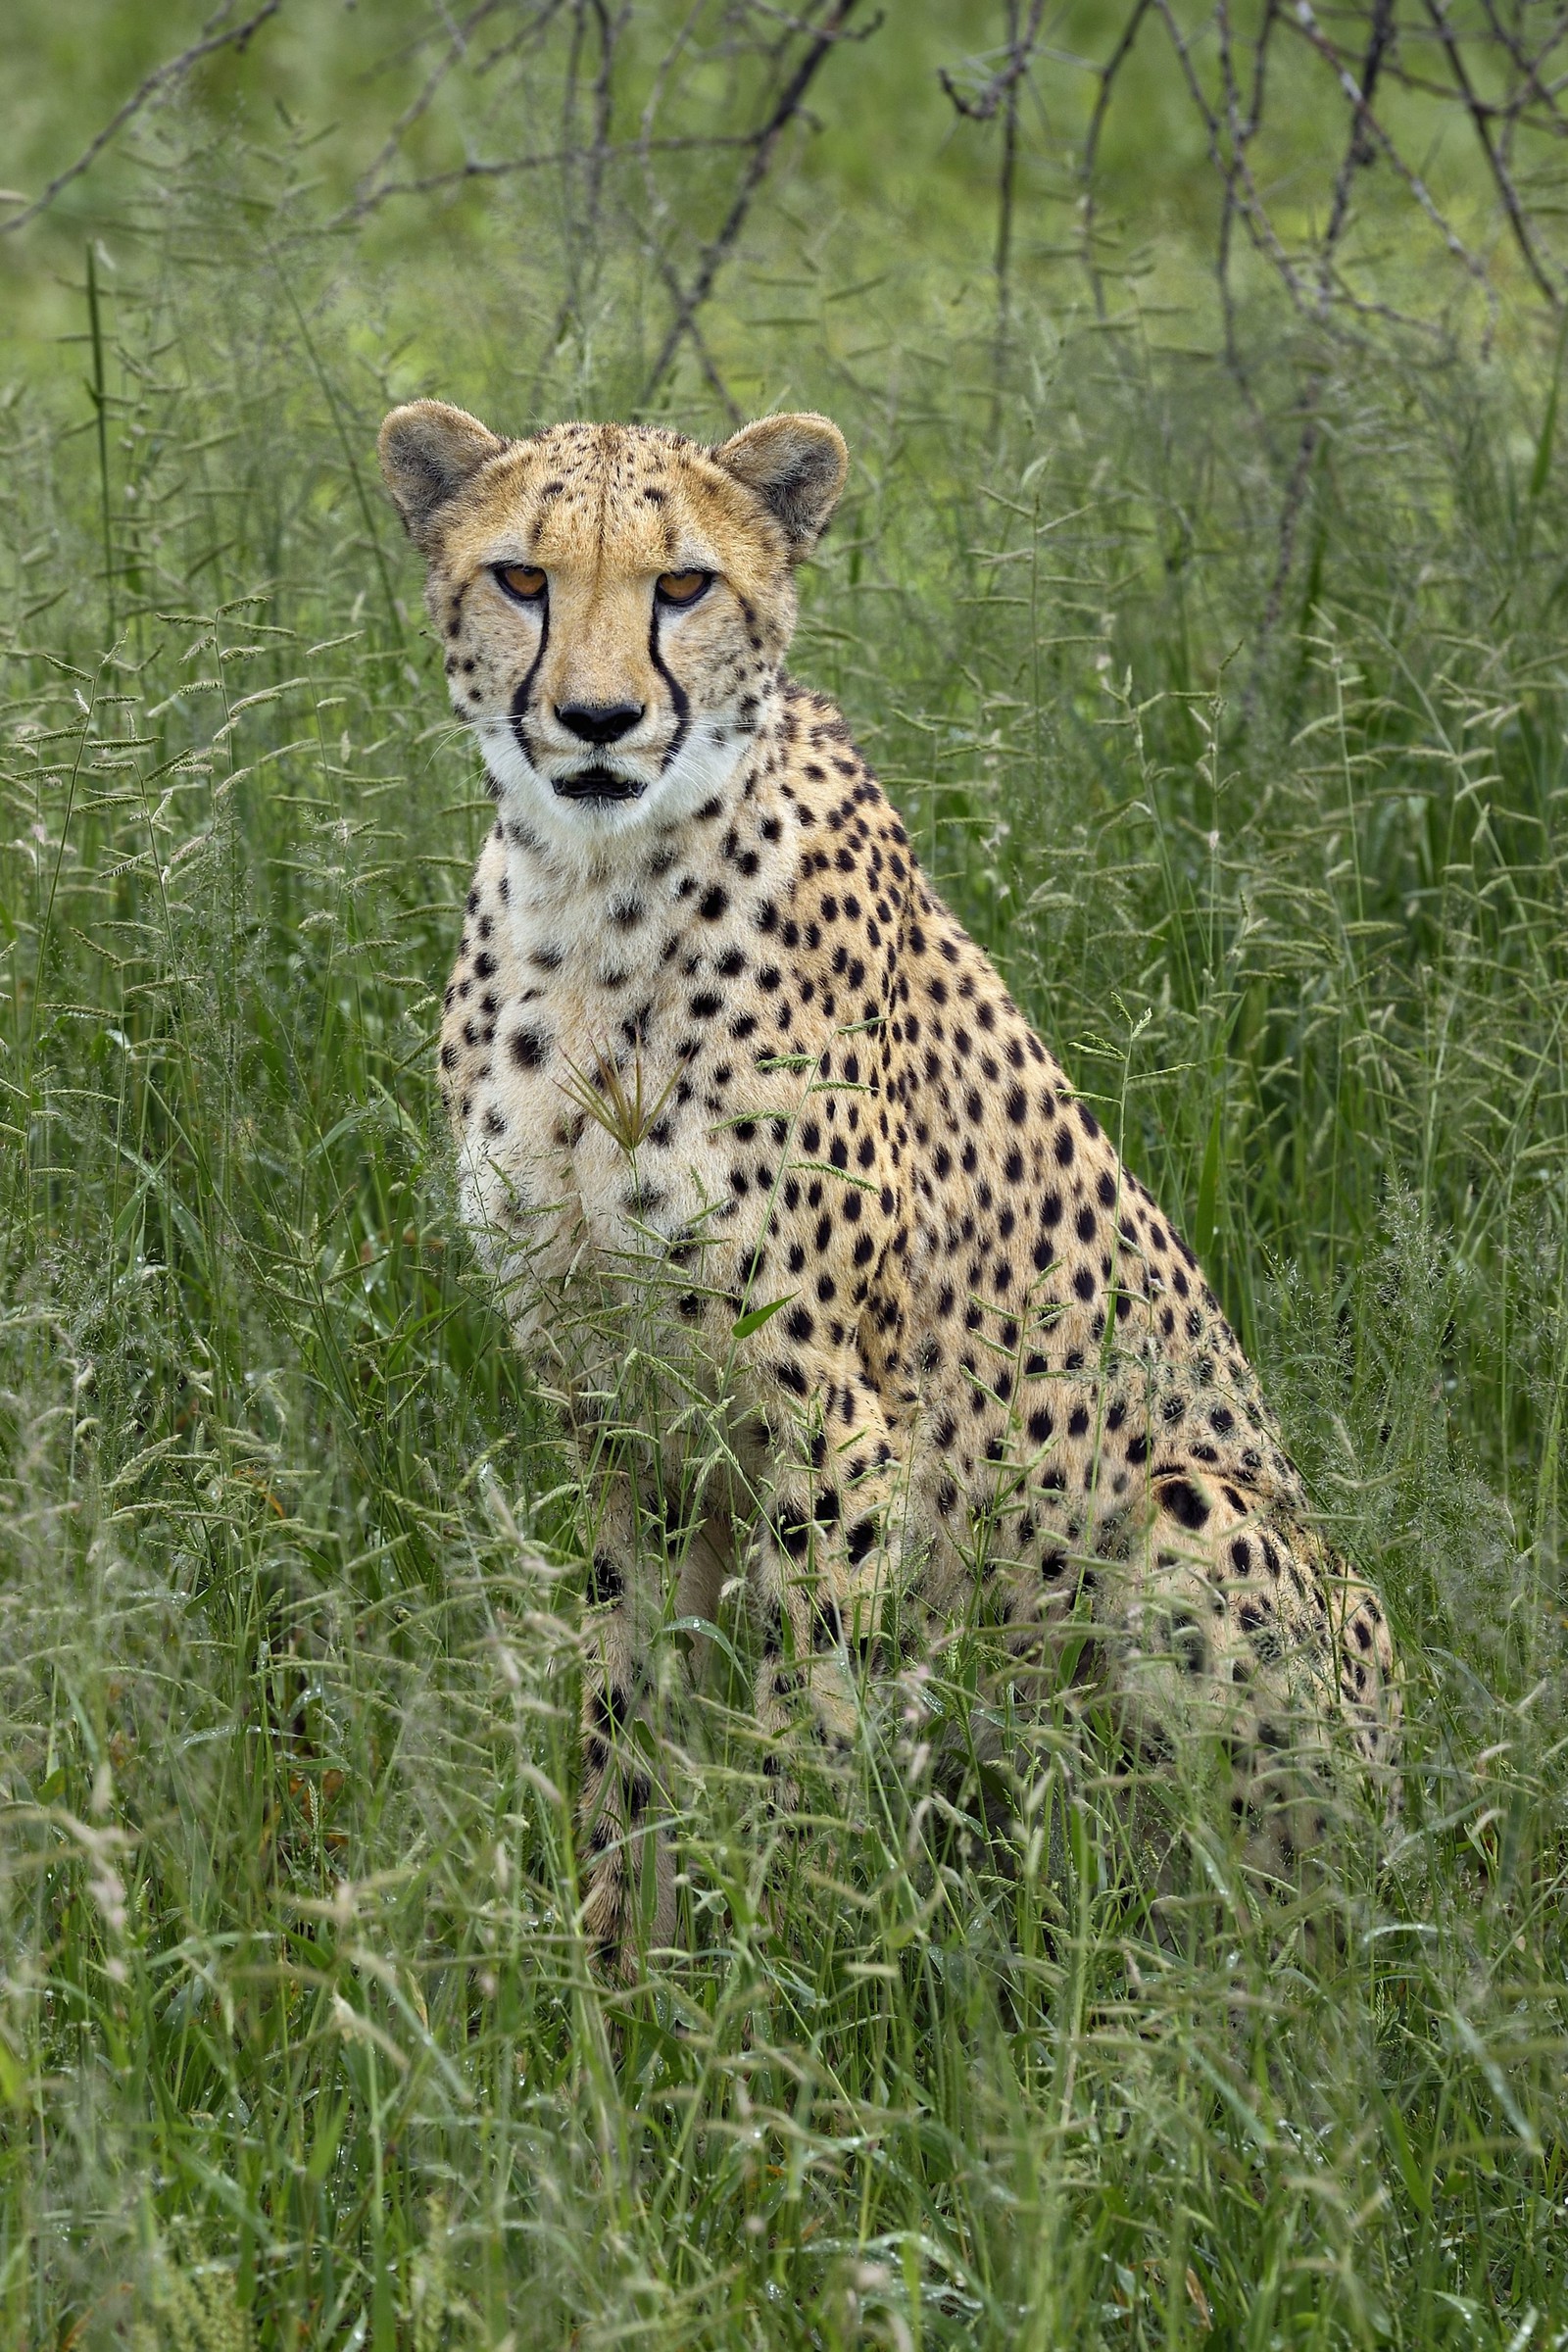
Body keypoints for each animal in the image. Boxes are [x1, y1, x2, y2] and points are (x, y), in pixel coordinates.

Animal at [379, 398, 1401, 1978]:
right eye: (522, 578)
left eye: (683, 585)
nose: (600, 722)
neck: (595, 894)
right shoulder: (615, 1420)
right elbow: (622, 1719)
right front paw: (612, 1988)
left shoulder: (841, 1432)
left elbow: (809, 1729)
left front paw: (797, 1990)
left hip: (1200, 1518)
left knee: (1265, 1929)